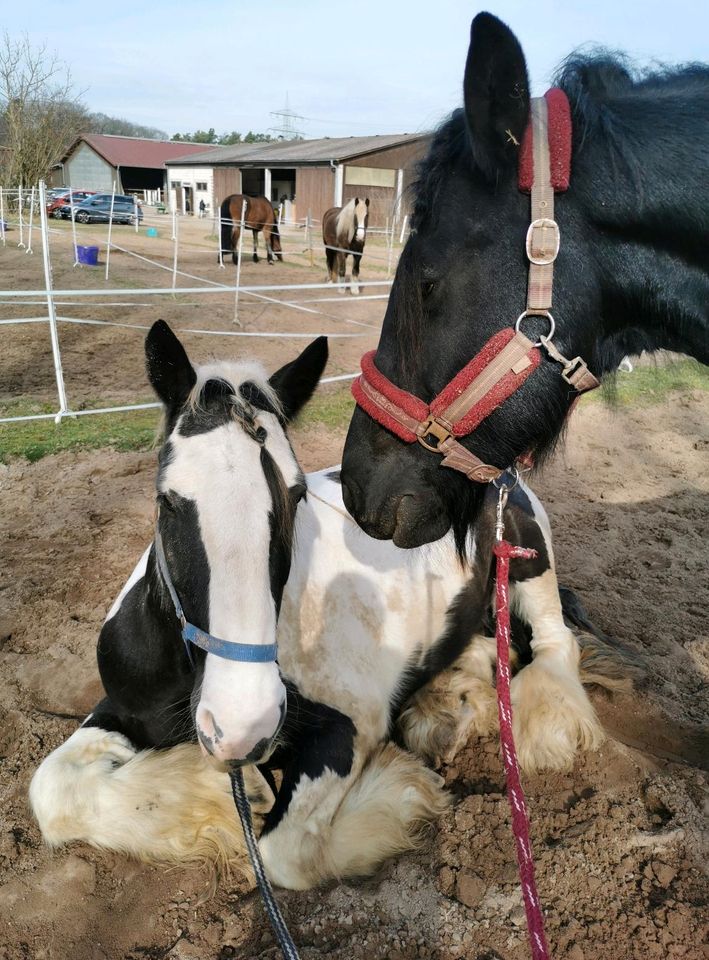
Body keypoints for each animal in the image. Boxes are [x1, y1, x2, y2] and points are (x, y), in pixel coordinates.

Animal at [31, 324, 608, 892]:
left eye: (297, 496)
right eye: (167, 500)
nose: (242, 723)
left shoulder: (346, 728)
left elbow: (285, 854)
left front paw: (400, 790)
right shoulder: (124, 708)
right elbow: (51, 789)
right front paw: (228, 795)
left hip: (530, 563)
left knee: (555, 642)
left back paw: (540, 730)